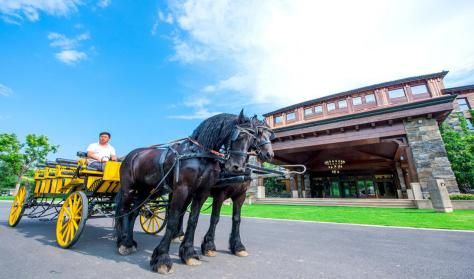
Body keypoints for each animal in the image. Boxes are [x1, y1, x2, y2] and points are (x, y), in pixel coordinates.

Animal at [114, 111, 258, 276]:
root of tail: (131, 155)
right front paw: (162, 259)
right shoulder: (183, 190)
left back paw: (129, 242)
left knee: (134, 212)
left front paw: (189, 254)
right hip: (129, 189)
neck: (200, 156)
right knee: (123, 211)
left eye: (252, 139)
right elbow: (173, 220)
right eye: (238, 135)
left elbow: (194, 220)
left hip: (147, 191)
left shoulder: (202, 193)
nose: (237, 167)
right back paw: (122, 241)